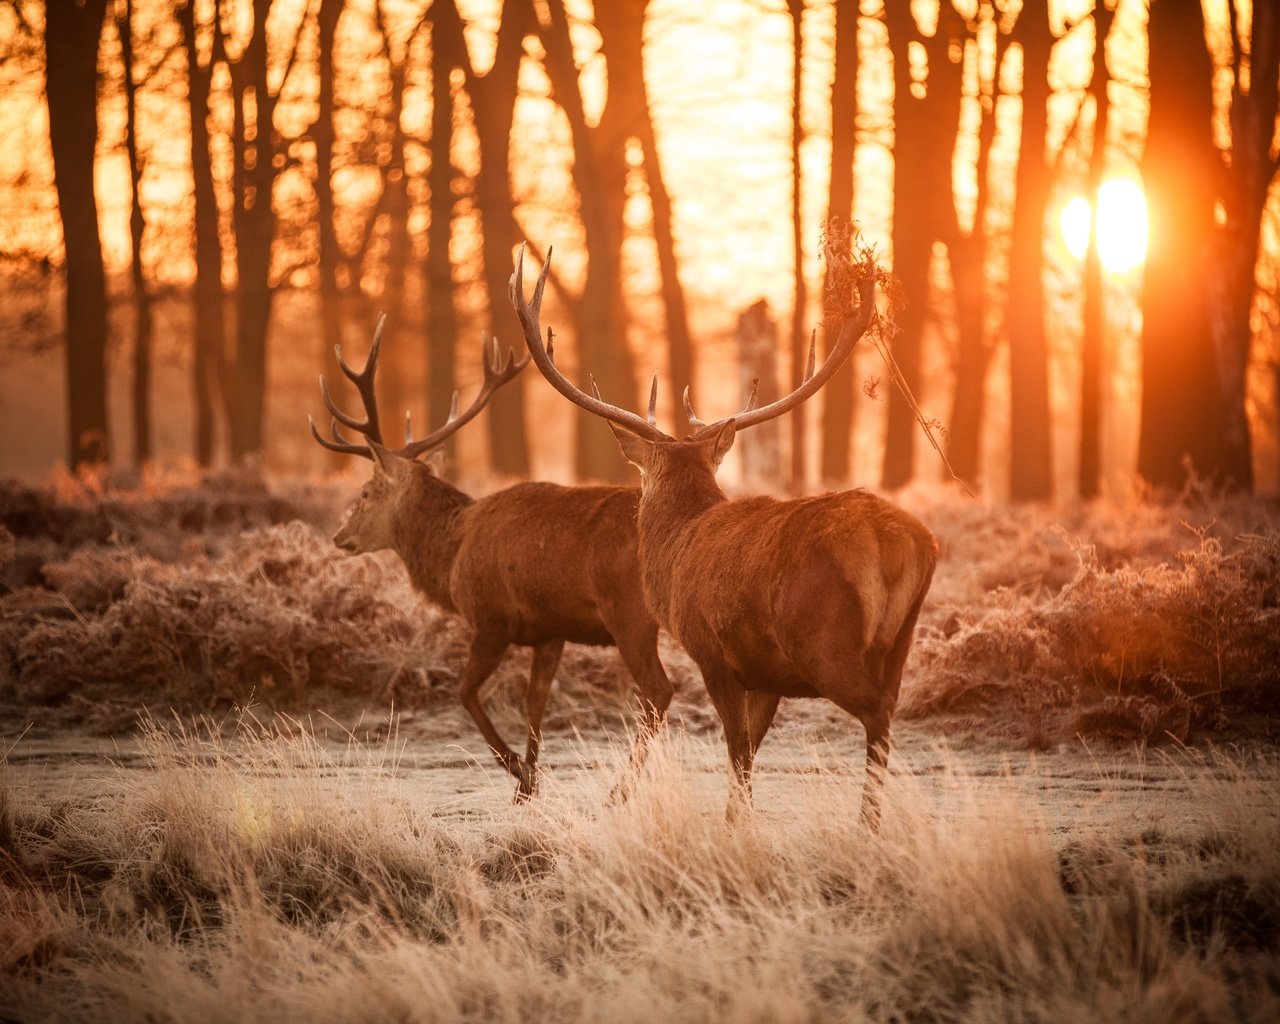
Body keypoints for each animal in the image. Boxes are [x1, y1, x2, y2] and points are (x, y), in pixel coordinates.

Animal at [308, 317, 675, 798]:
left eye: (367, 492)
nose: (339, 536)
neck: (452, 554)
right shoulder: (549, 630)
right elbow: (535, 701)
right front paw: (528, 785)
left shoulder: (490, 618)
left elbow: (465, 692)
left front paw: (516, 768)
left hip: (630, 613)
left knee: (659, 691)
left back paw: (622, 790)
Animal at [509, 244, 942, 829]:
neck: (675, 549)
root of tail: (897, 543)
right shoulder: (765, 674)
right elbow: (751, 750)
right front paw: (739, 819)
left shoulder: (712, 651)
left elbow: (736, 749)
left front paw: (732, 826)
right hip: (903, 637)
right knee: (890, 707)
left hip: (824, 639)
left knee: (875, 713)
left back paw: (866, 827)